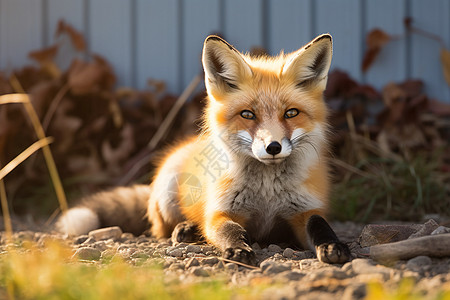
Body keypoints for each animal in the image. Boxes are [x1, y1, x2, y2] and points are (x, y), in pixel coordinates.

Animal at [56, 33, 352, 264]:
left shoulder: (305, 210)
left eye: (291, 113)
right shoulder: (220, 211)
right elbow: (229, 230)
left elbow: (320, 225)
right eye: (247, 114)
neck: (266, 194)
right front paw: (238, 249)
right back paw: (187, 229)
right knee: (161, 228)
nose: (273, 147)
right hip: (167, 193)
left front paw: (332, 246)